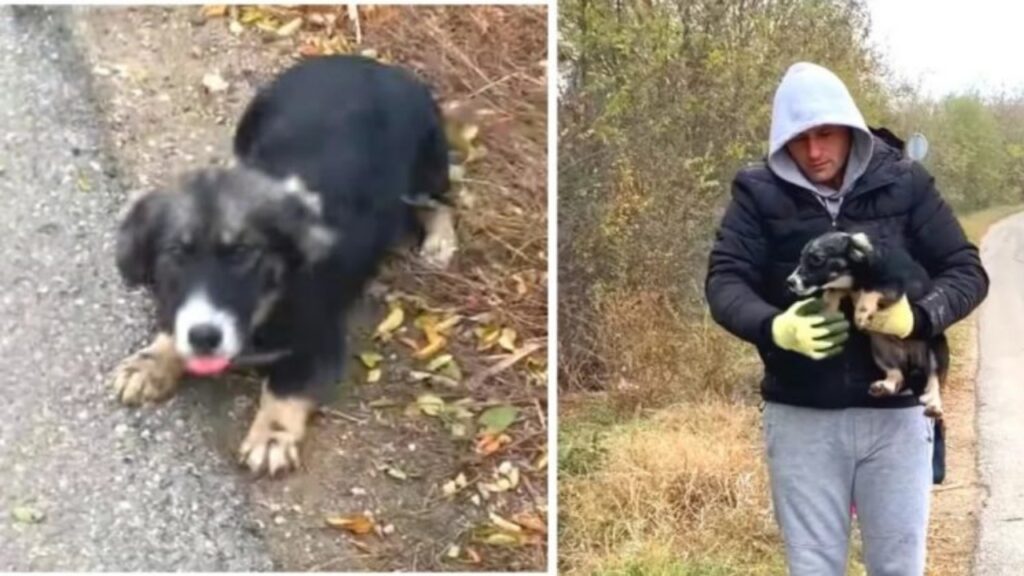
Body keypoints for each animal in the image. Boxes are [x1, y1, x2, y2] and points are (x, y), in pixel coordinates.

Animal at [111, 53, 456, 475]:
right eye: (177, 253)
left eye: (245, 254)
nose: (205, 337)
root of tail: (368, 63)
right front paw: (151, 361)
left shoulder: (319, 346)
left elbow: (284, 389)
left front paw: (271, 437)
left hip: (429, 163)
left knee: (440, 201)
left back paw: (440, 241)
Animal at [786, 229, 946, 416]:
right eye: (801, 257)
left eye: (817, 259)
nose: (790, 282)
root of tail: (910, 359)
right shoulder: (847, 287)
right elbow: (833, 290)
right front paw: (828, 309)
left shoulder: (894, 286)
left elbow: (871, 289)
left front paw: (860, 315)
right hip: (880, 352)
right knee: (897, 374)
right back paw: (883, 387)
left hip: (935, 352)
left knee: (934, 379)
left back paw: (934, 405)